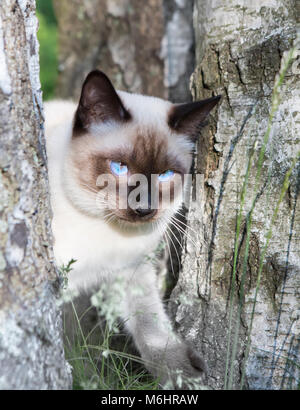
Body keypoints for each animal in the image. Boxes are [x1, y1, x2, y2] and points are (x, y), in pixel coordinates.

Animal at [45, 70, 220, 388]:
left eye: (165, 175)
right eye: (119, 167)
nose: (144, 208)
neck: (103, 230)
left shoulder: (130, 272)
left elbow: (150, 326)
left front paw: (179, 375)